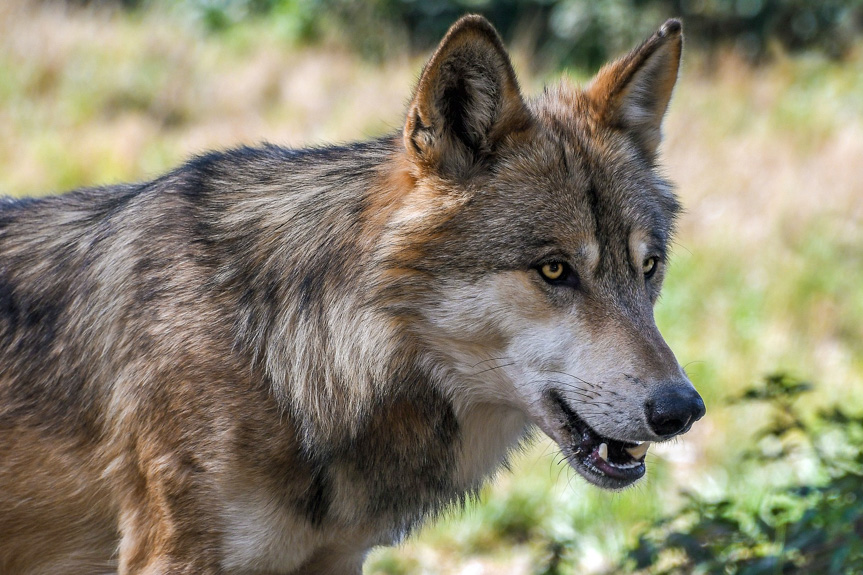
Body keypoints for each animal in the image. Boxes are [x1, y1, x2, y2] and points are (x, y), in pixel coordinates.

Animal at [0, 13, 704, 575]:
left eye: (648, 268)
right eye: (555, 270)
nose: (683, 409)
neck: (282, 357)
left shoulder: (337, 559)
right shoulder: (173, 557)